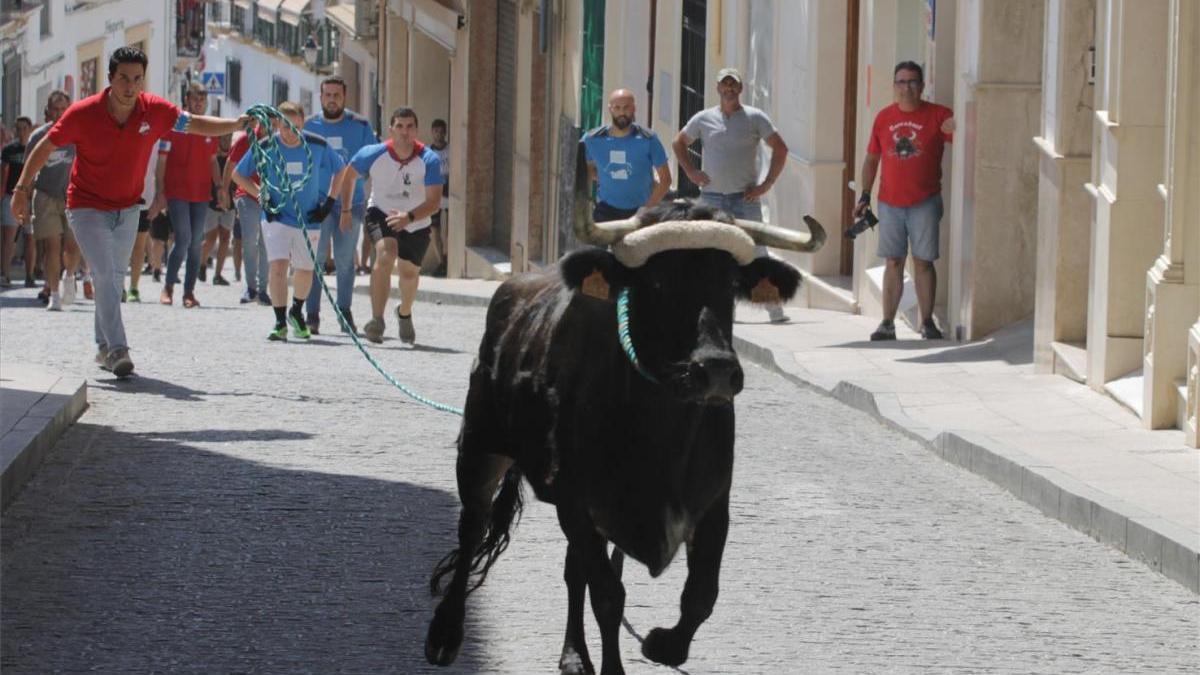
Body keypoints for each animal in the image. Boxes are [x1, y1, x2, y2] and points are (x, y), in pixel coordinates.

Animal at [427, 200, 820, 672]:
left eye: (729, 282)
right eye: (658, 281)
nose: (716, 370)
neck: (663, 434)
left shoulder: (712, 504)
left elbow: (701, 594)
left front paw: (664, 645)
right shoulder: (577, 501)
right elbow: (609, 597)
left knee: (572, 570)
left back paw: (574, 654)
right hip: (481, 445)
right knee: (471, 529)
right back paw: (445, 634)